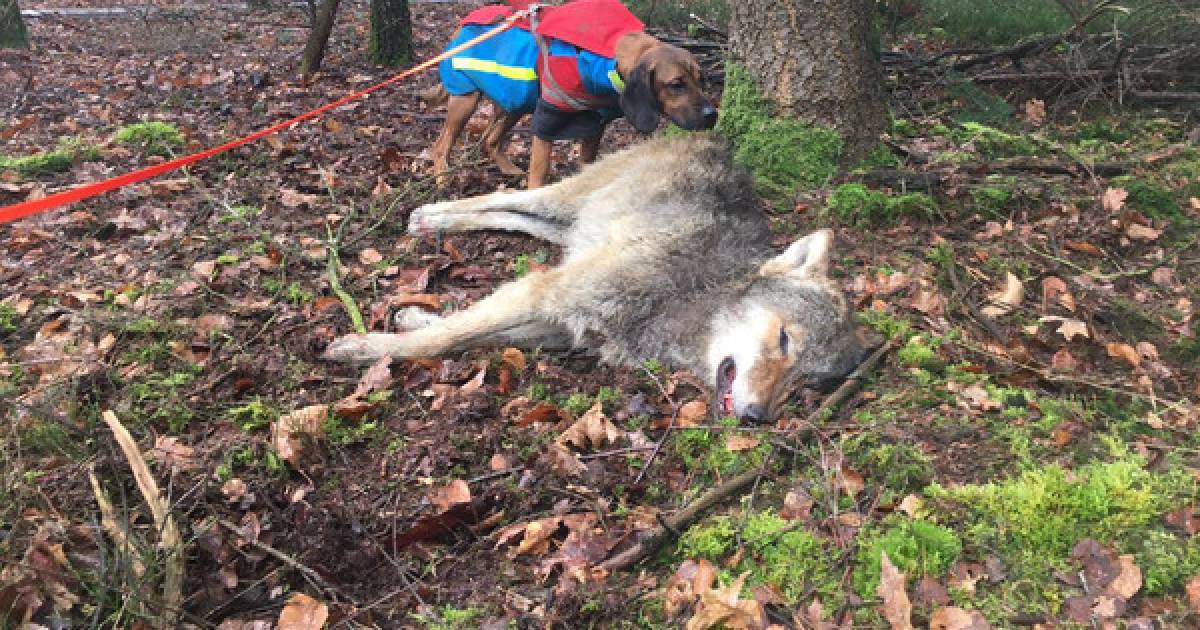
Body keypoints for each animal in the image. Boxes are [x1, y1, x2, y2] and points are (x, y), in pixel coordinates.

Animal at [323, 134, 870, 422]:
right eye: (783, 340)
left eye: (805, 382)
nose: (757, 418)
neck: (693, 293)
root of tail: (711, 137)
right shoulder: (547, 290)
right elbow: (445, 340)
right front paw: (364, 349)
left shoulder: (564, 324)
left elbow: (466, 335)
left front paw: (412, 318)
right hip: (567, 200)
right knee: (505, 195)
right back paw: (433, 216)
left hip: (574, 226)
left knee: (518, 217)